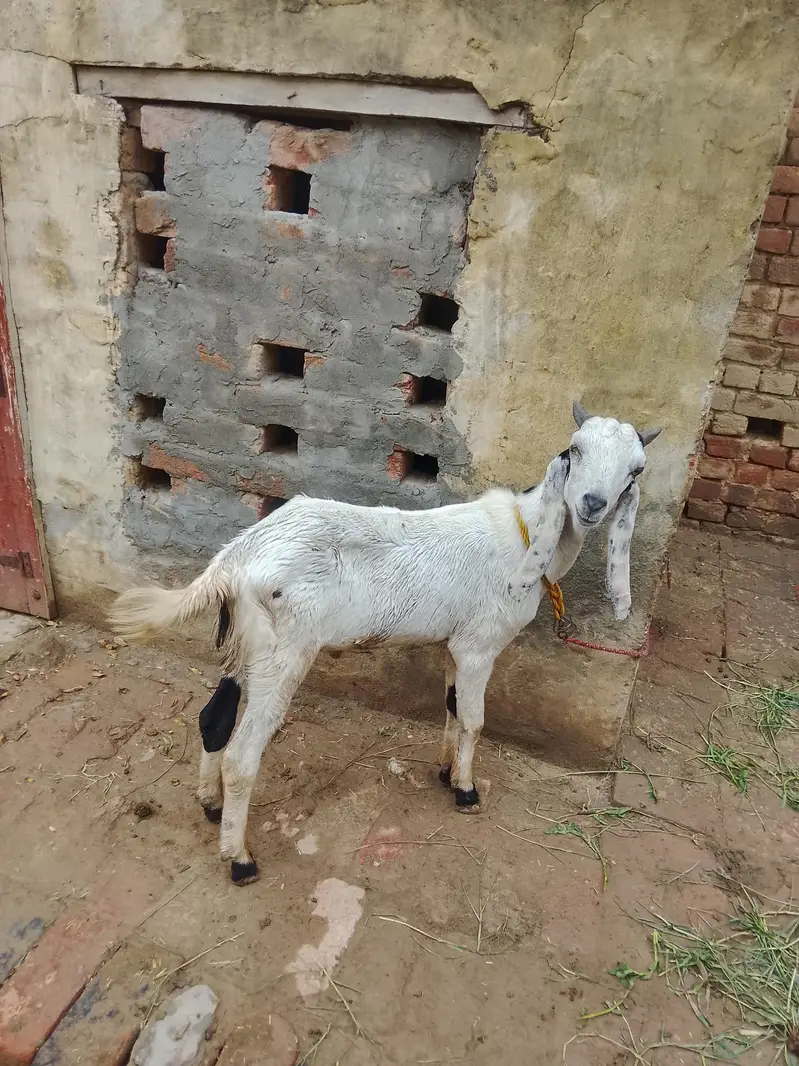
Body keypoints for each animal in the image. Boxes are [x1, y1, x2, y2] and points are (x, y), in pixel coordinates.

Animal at [109, 404, 661, 885]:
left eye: (635, 470)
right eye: (575, 449)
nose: (592, 505)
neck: (525, 536)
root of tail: (237, 555)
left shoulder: (452, 645)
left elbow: (451, 706)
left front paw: (444, 770)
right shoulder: (479, 646)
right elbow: (475, 720)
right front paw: (465, 790)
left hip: (247, 643)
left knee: (214, 718)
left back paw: (211, 805)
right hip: (283, 650)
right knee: (242, 758)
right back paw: (240, 859)